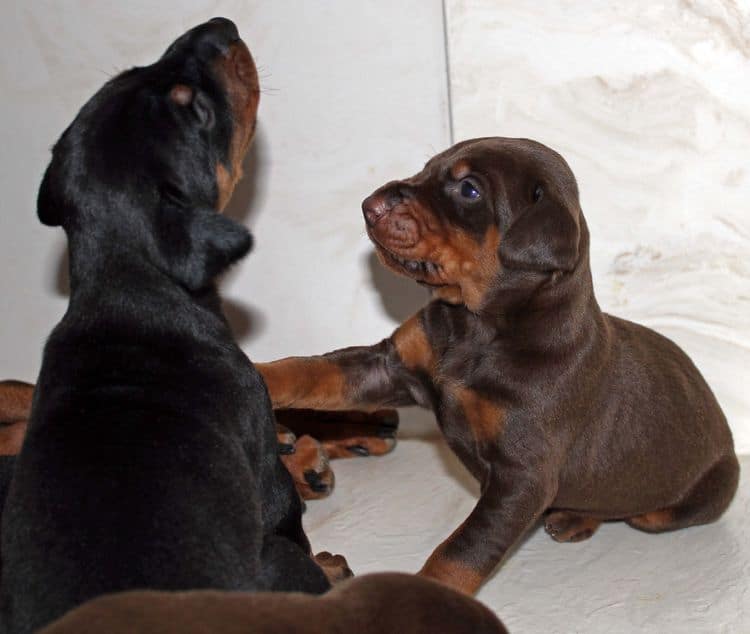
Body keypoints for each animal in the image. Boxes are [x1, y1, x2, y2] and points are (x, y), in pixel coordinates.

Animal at [0, 17, 346, 628]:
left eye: (138, 70)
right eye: (195, 110)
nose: (221, 26)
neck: (128, 284)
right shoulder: (262, 455)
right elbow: (288, 513)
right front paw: (328, 561)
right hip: (272, 561)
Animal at [256, 137, 744, 592]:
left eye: (469, 189)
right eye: (427, 168)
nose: (368, 205)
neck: (477, 328)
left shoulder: (521, 477)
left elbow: (463, 551)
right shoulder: (392, 367)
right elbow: (312, 370)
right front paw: (257, 372)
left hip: (681, 499)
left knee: (629, 509)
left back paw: (576, 516)